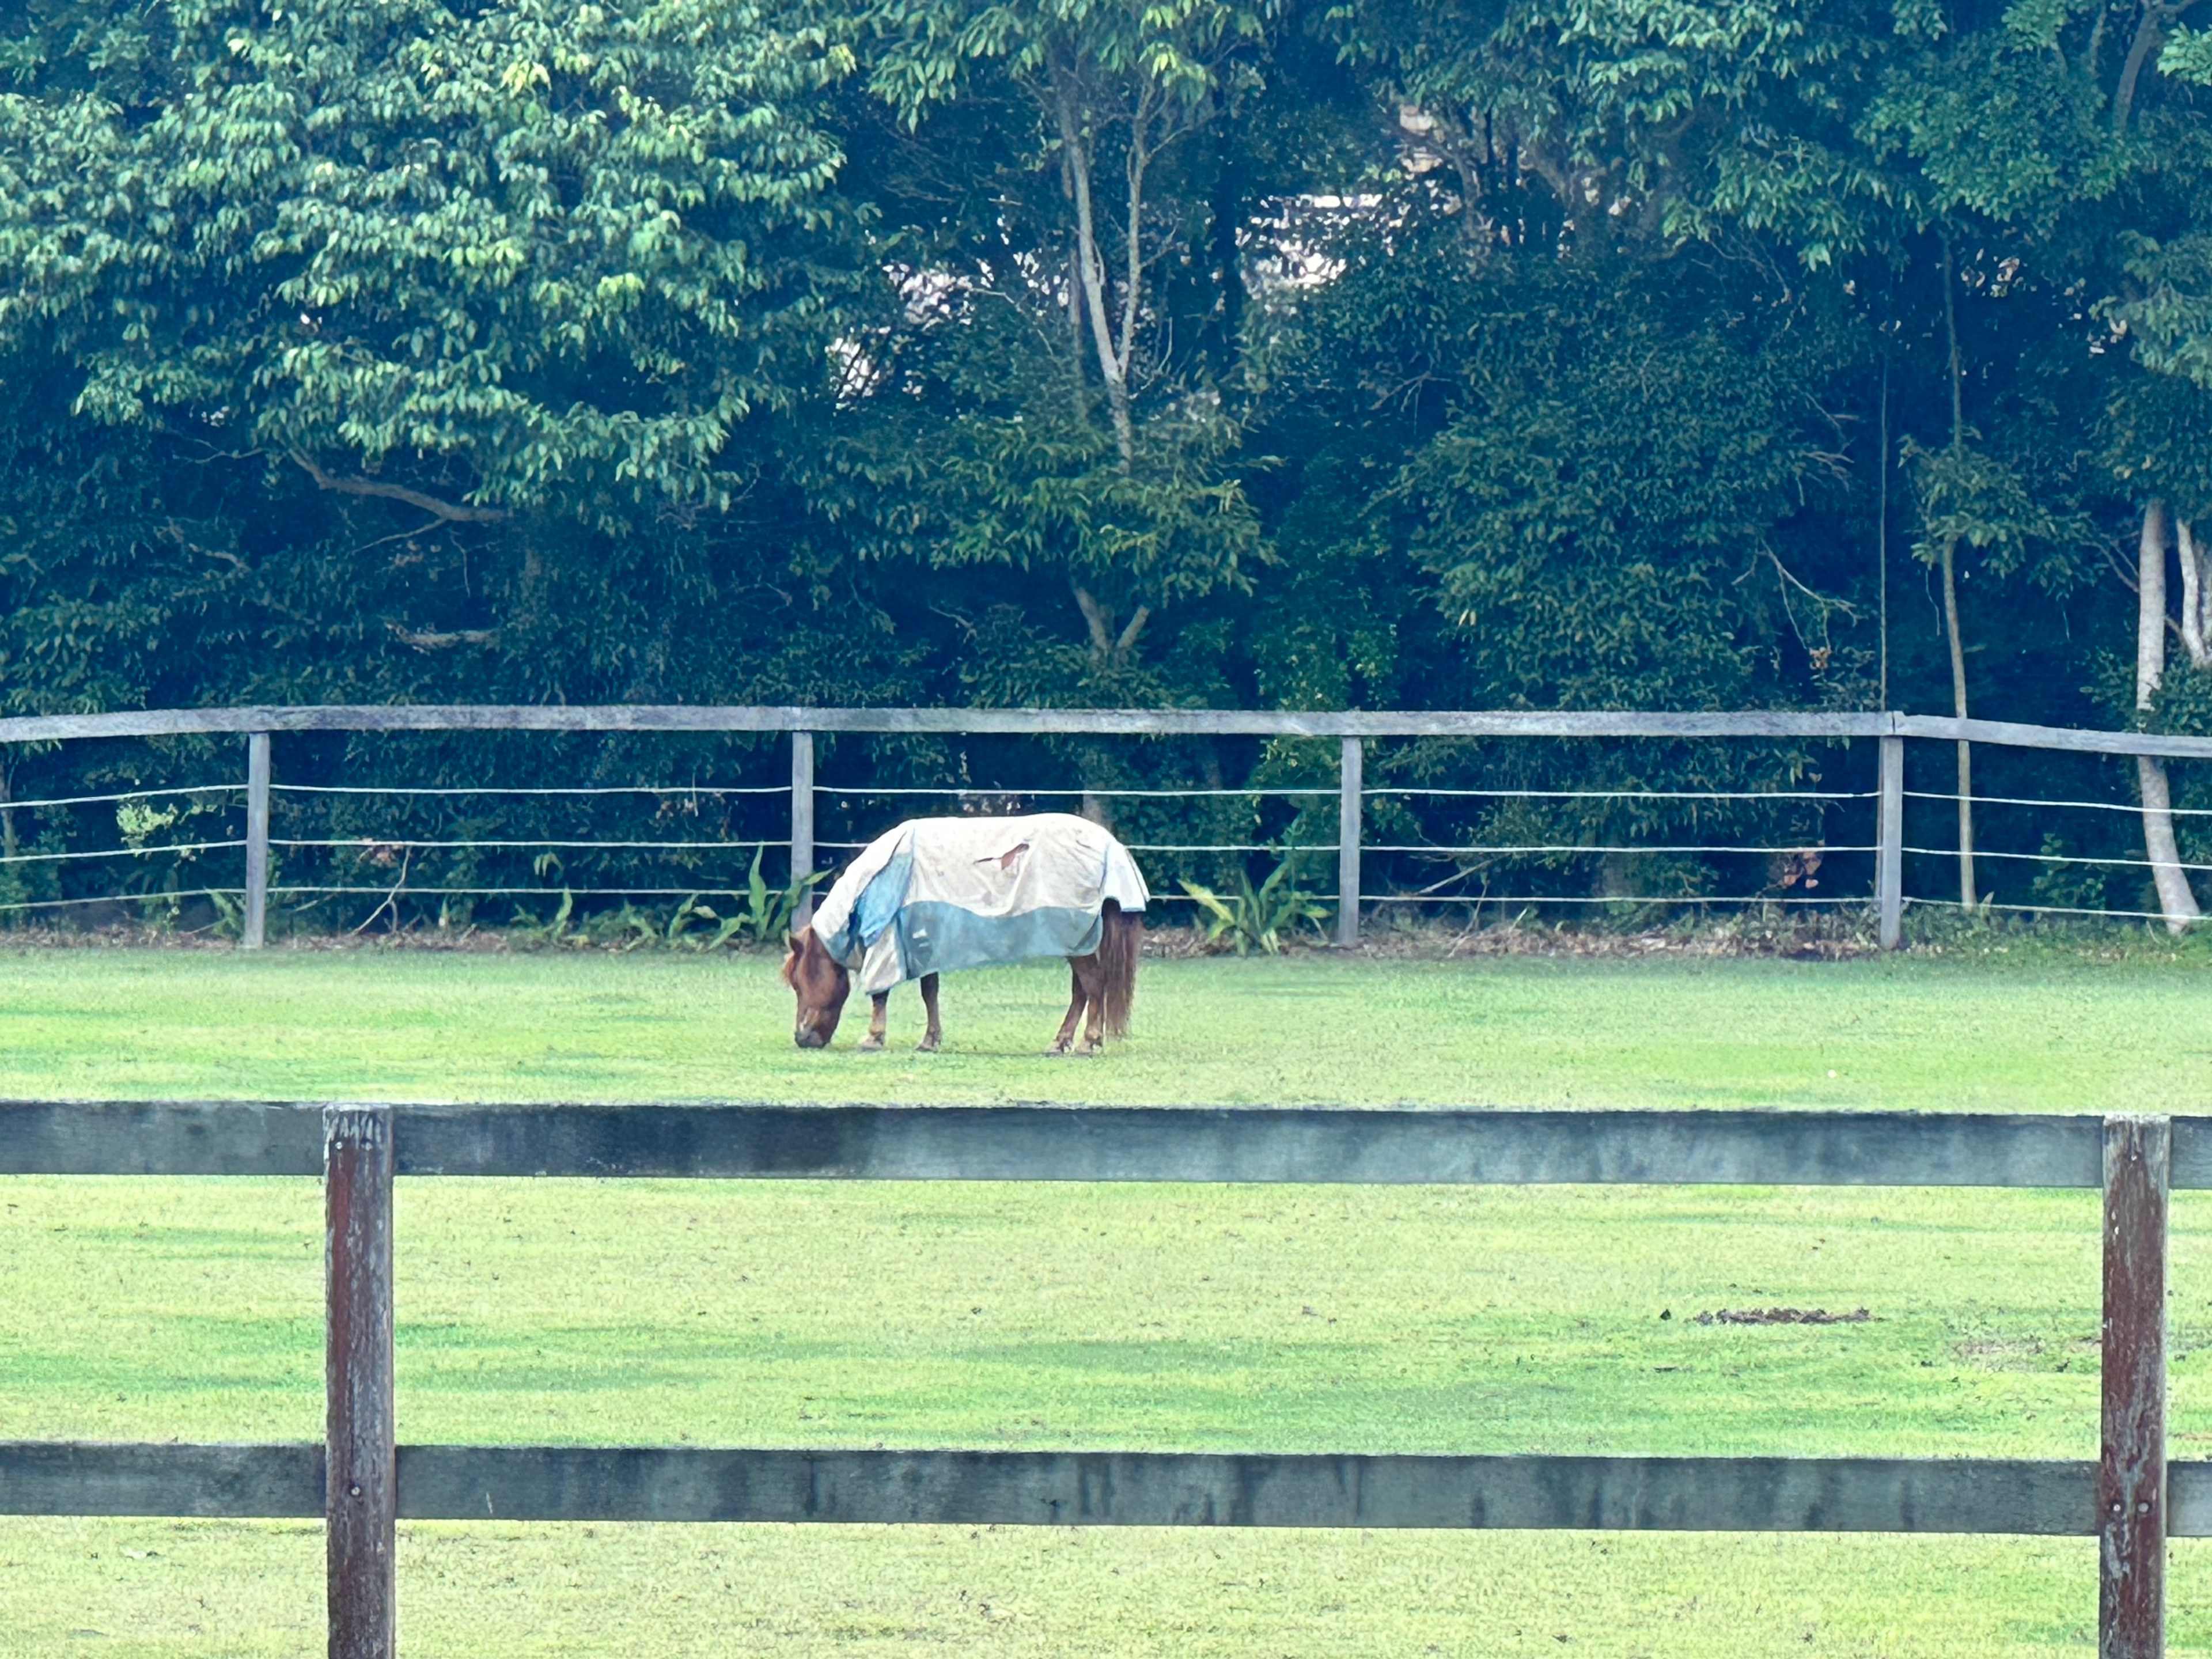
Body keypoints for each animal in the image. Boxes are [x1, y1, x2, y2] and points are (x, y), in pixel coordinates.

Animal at [782, 812, 1147, 1054]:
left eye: (799, 984)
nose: (802, 1039)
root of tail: (1112, 848)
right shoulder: (924, 943)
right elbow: (930, 992)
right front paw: (930, 1040)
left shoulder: (888, 943)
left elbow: (880, 993)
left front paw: (873, 1038)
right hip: (1079, 941)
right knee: (1083, 990)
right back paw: (1061, 1042)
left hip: (1077, 939)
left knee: (1093, 986)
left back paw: (1089, 1042)